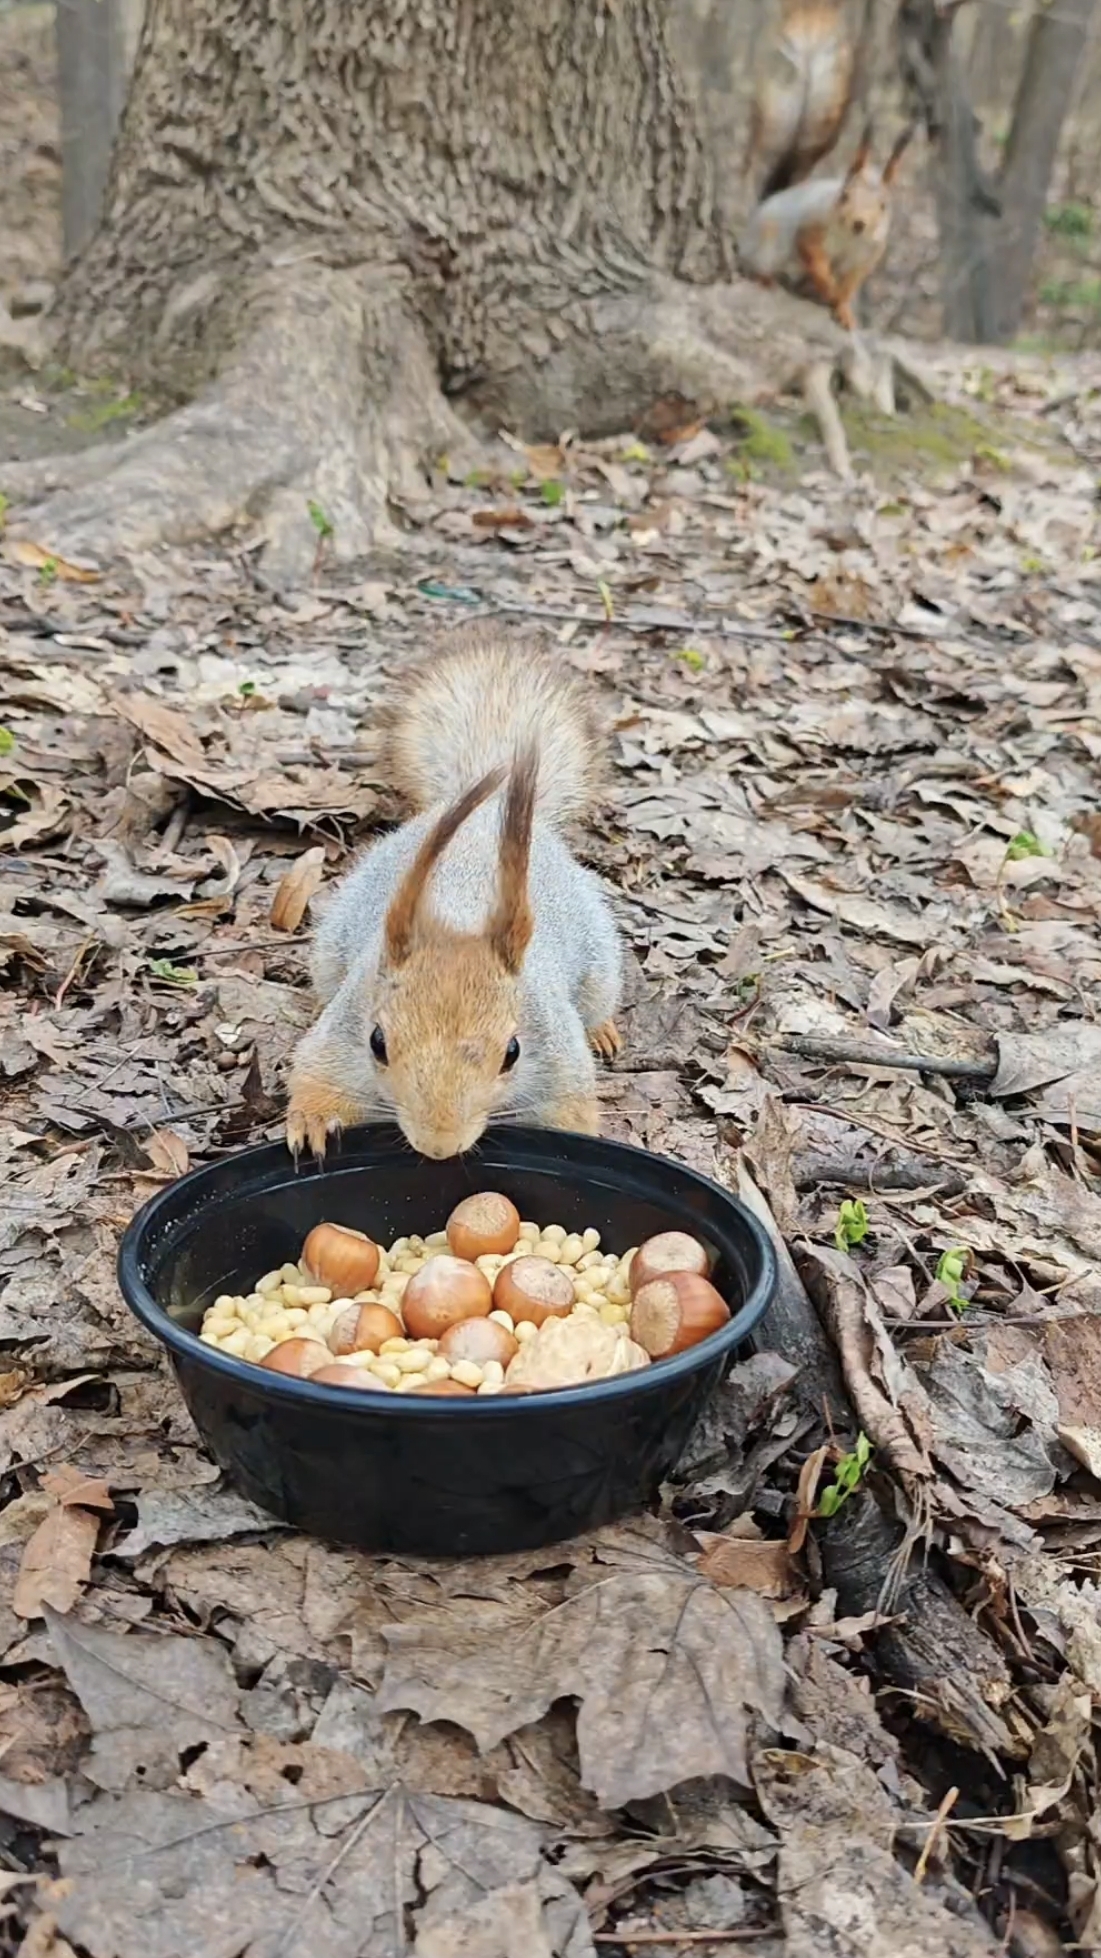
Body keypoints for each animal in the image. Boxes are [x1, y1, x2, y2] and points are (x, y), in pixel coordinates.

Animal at [285, 631, 623, 1162]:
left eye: (513, 1052)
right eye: (377, 1042)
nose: (438, 1147)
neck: (460, 915)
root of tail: (485, 815)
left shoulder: (557, 1062)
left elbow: (569, 1112)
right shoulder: (343, 1034)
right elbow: (317, 1075)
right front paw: (312, 1124)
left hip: (599, 961)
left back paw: (603, 1029)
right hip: (331, 950)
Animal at [739, 122, 914, 331]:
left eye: (883, 205)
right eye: (845, 195)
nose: (858, 223)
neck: (850, 237)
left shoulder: (868, 254)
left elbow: (850, 283)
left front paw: (844, 310)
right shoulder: (812, 225)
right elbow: (814, 259)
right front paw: (830, 288)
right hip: (766, 244)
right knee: (756, 266)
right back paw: (766, 279)